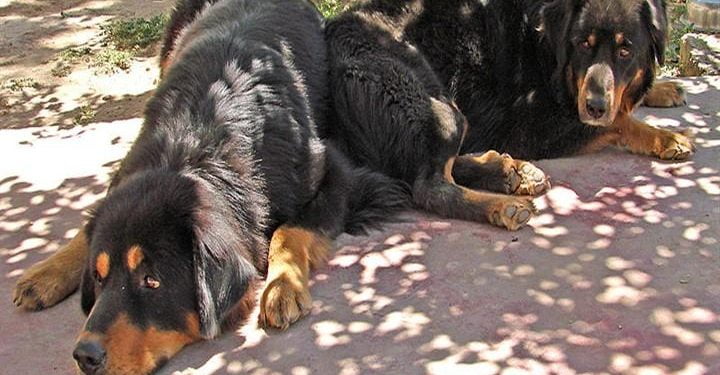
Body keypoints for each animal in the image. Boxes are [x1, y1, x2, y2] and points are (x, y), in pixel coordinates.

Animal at [12, 0, 404, 374]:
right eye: (98, 276)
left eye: (152, 281)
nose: (84, 355)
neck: (194, 143)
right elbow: (91, 224)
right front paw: (51, 270)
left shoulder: (337, 174)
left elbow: (287, 232)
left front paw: (282, 286)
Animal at [324, 0, 692, 232]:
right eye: (583, 44)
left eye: (625, 50)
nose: (595, 105)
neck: (547, 45)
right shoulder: (533, 127)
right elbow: (620, 121)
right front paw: (666, 136)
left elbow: (628, 101)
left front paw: (662, 88)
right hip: (437, 104)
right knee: (429, 185)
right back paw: (500, 204)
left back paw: (509, 172)